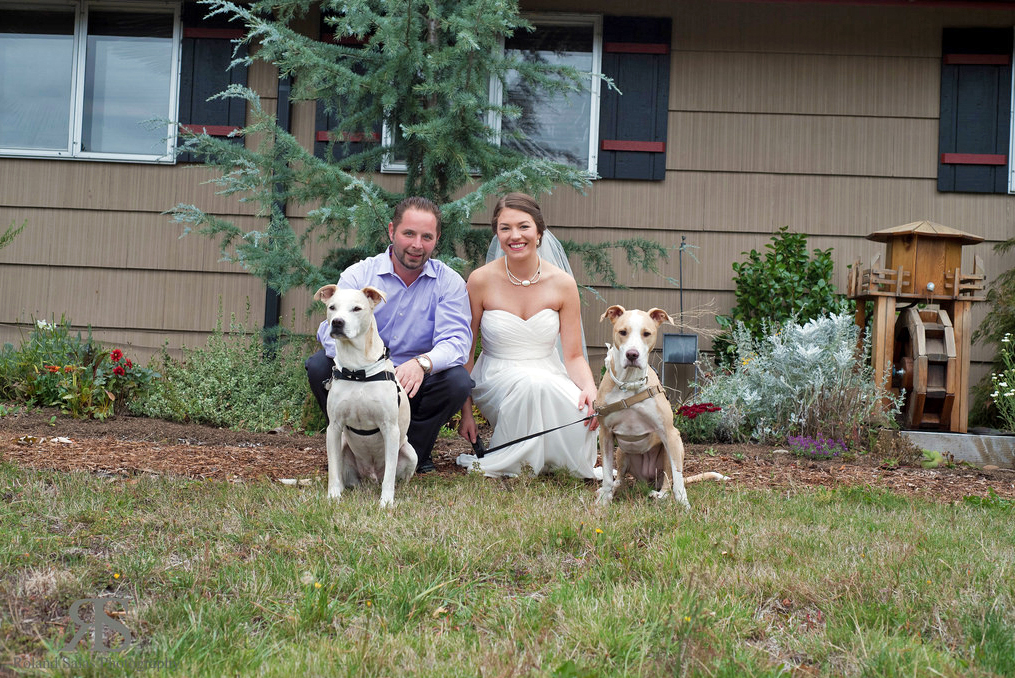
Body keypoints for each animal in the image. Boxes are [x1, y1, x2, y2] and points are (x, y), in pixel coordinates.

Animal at [312, 284, 416, 505]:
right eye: (332, 307)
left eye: (357, 309)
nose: (337, 322)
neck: (357, 369)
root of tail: (371, 477)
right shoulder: (333, 428)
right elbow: (333, 470)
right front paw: (333, 496)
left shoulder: (390, 429)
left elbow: (390, 475)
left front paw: (386, 502)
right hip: (344, 446)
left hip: (409, 452)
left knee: (394, 475)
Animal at [592, 306, 730, 507]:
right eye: (622, 332)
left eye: (646, 333)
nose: (632, 355)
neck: (630, 384)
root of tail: (647, 480)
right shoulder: (606, 434)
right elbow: (608, 474)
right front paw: (603, 500)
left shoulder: (670, 433)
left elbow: (678, 478)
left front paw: (684, 504)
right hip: (621, 452)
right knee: (621, 478)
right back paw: (612, 489)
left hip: (673, 448)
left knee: (668, 479)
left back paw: (661, 495)